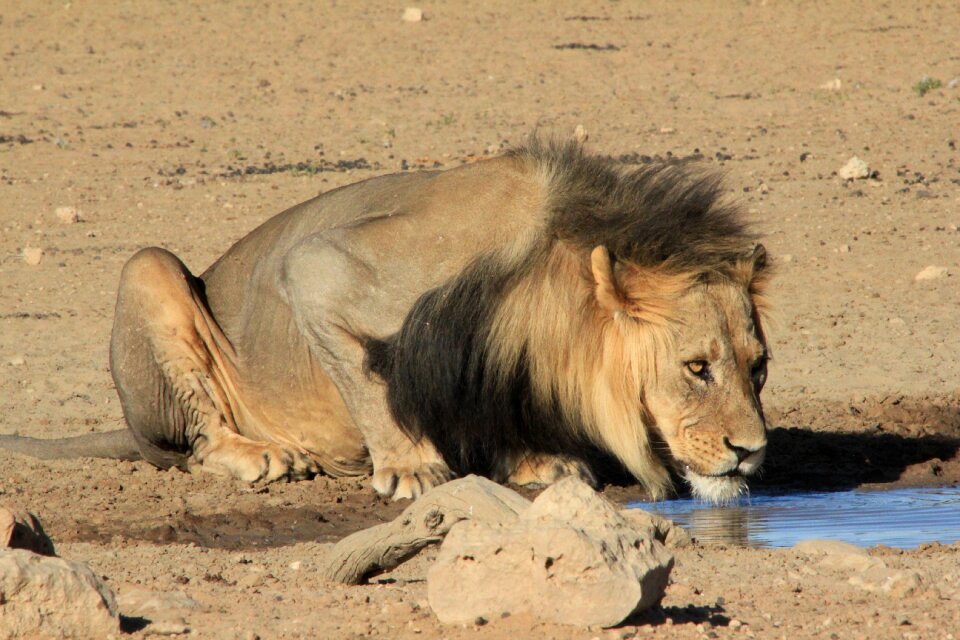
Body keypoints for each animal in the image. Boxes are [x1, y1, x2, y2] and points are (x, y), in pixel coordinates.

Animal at [0, 141, 768, 504]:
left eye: (758, 368)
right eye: (696, 368)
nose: (752, 451)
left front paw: (535, 461)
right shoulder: (320, 269)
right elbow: (372, 383)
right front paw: (410, 468)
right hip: (149, 269)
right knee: (195, 440)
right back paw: (261, 455)